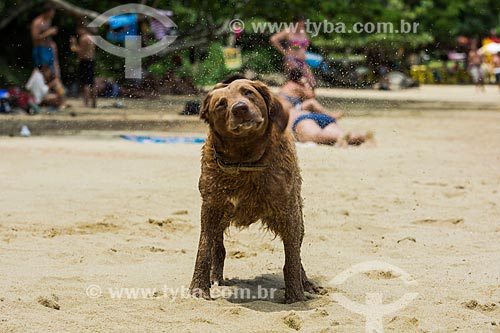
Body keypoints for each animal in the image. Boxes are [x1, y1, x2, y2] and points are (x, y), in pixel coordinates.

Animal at [188, 79, 316, 302]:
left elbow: (292, 256)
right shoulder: (211, 206)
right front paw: (199, 288)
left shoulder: (288, 211)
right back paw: (215, 276)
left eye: (248, 92)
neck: (246, 160)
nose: (240, 108)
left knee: (297, 249)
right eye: (221, 104)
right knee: (217, 245)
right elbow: (204, 247)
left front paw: (295, 295)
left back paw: (306, 283)